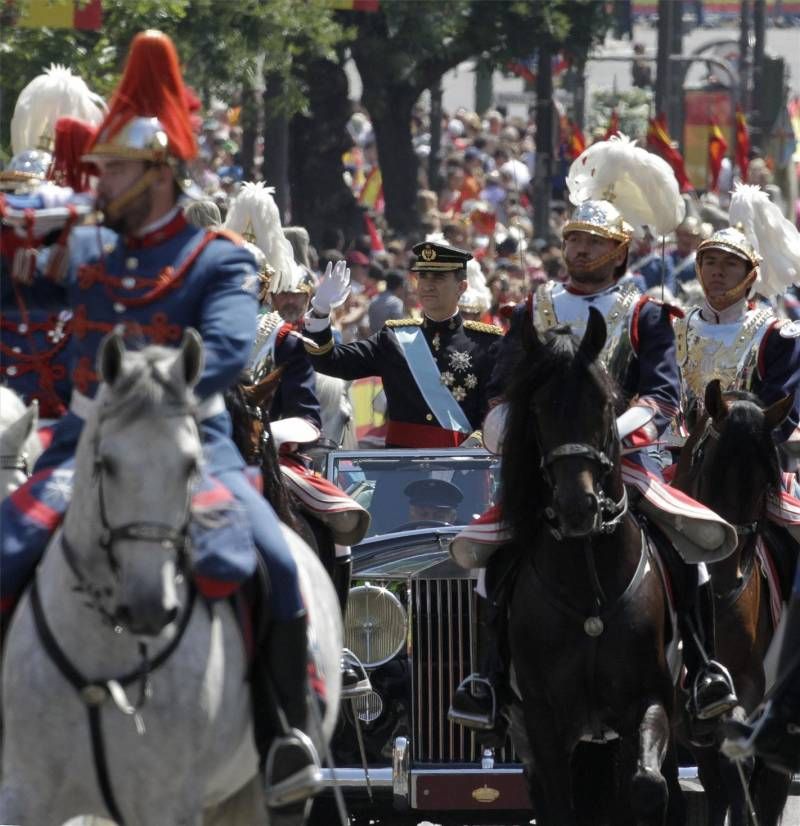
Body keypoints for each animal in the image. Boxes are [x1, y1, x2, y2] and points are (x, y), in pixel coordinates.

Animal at [500, 308, 680, 824]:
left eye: (603, 405)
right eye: (537, 410)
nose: (577, 508)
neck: (589, 589)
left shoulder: (649, 699)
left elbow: (645, 786)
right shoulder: (543, 718)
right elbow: (561, 804)